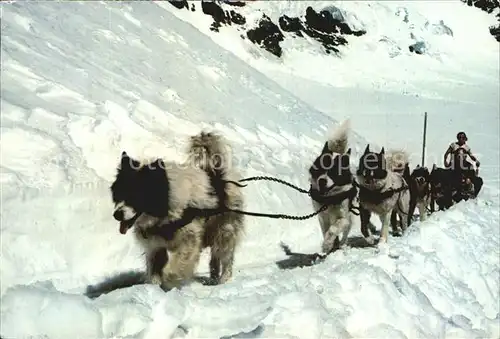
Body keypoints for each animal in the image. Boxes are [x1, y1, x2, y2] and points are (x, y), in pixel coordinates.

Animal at [112, 131, 248, 290]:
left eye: (137, 196)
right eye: (119, 193)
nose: (116, 215)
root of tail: (220, 175)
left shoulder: (189, 241)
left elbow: (174, 267)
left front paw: (170, 282)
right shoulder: (155, 246)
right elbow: (154, 270)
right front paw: (154, 287)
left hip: (225, 231)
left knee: (226, 257)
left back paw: (223, 280)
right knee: (215, 259)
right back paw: (213, 279)